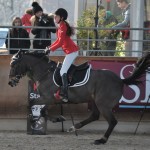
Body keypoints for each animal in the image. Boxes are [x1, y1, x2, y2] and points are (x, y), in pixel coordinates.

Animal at [7, 50, 150, 145]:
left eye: (13, 65)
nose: (10, 82)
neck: (45, 73)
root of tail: (120, 80)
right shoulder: (50, 99)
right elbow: (42, 110)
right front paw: (57, 119)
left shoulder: (48, 98)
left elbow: (31, 104)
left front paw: (35, 121)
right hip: (95, 101)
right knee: (94, 116)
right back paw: (74, 127)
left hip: (103, 104)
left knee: (112, 121)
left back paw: (101, 140)